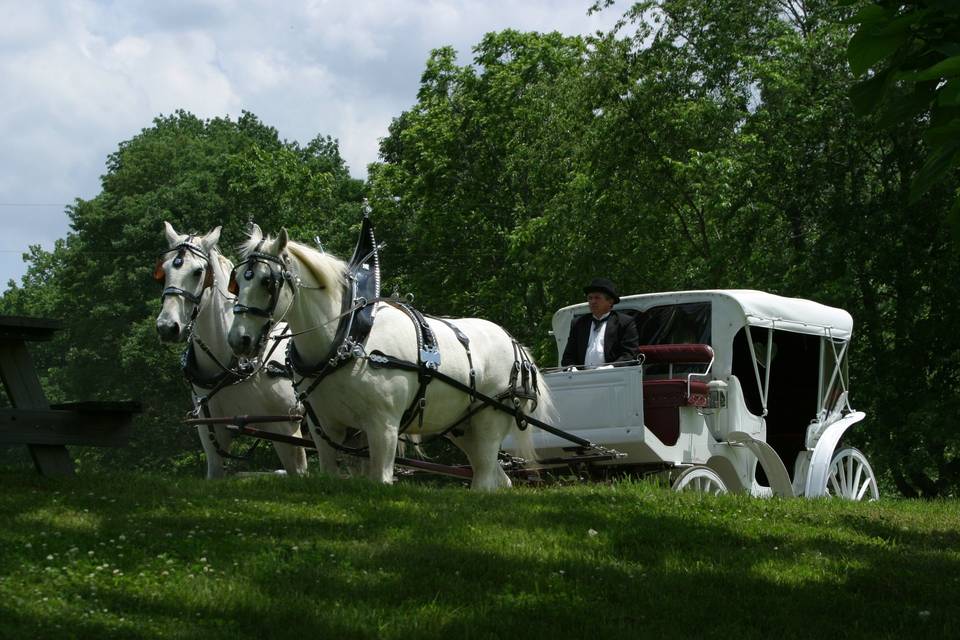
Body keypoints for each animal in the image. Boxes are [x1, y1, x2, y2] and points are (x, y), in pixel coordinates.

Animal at [155, 222, 316, 478]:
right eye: (164, 270)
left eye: (198, 272)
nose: (167, 327)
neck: (233, 367)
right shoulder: (210, 432)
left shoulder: (286, 428)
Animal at [227, 225, 556, 490]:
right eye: (237, 281)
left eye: (267, 282)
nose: (238, 339)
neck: (346, 340)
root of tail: (514, 343)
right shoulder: (325, 426)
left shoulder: (383, 425)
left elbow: (381, 480)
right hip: (461, 428)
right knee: (500, 479)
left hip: (490, 419)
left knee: (485, 479)